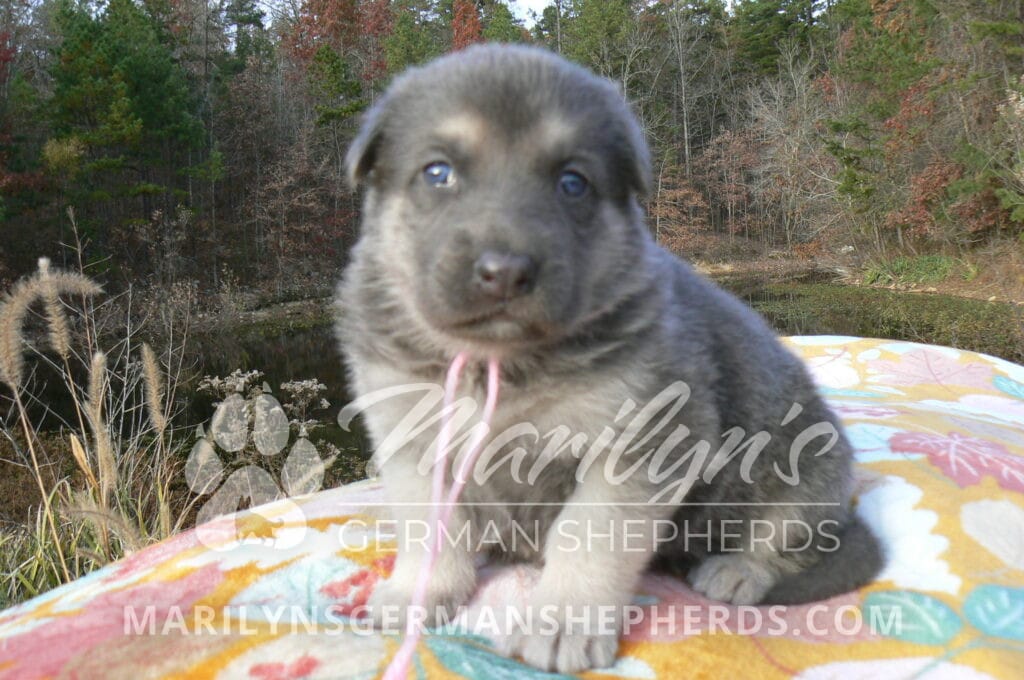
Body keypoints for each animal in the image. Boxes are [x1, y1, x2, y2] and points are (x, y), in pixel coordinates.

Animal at [336, 44, 882, 673]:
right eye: (437, 172)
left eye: (572, 182)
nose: (505, 271)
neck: (497, 362)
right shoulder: (413, 439)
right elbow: (430, 529)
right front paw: (418, 592)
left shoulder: (638, 448)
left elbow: (587, 537)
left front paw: (560, 621)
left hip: (807, 471)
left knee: (788, 538)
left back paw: (736, 569)